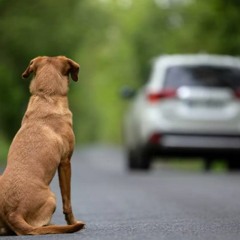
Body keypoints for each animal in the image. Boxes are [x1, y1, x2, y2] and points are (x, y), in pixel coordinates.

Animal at [0, 55, 85, 234]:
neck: (47, 96)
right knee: (41, 225)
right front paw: (72, 221)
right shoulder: (65, 162)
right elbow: (67, 201)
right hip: (52, 197)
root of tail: (13, 213)